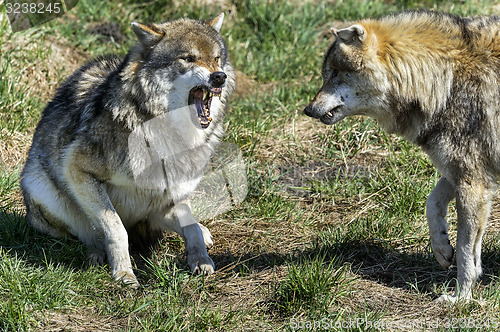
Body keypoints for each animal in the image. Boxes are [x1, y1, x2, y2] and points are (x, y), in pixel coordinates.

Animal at [20, 13, 235, 288]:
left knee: (189, 222)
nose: (219, 77)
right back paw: (95, 253)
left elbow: (192, 227)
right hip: (46, 192)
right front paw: (124, 273)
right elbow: (115, 228)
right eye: (188, 58)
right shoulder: (78, 169)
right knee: (84, 234)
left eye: (217, 58)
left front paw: (201, 259)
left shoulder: (172, 192)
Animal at [302, 9, 500, 302]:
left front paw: (460, 299)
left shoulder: (473, 182)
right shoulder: (461, 171)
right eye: (326, 74)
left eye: (335, 73)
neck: (445, 81)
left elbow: (466, 254)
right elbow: (432, 204)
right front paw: (442, 250)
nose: (308, 109)